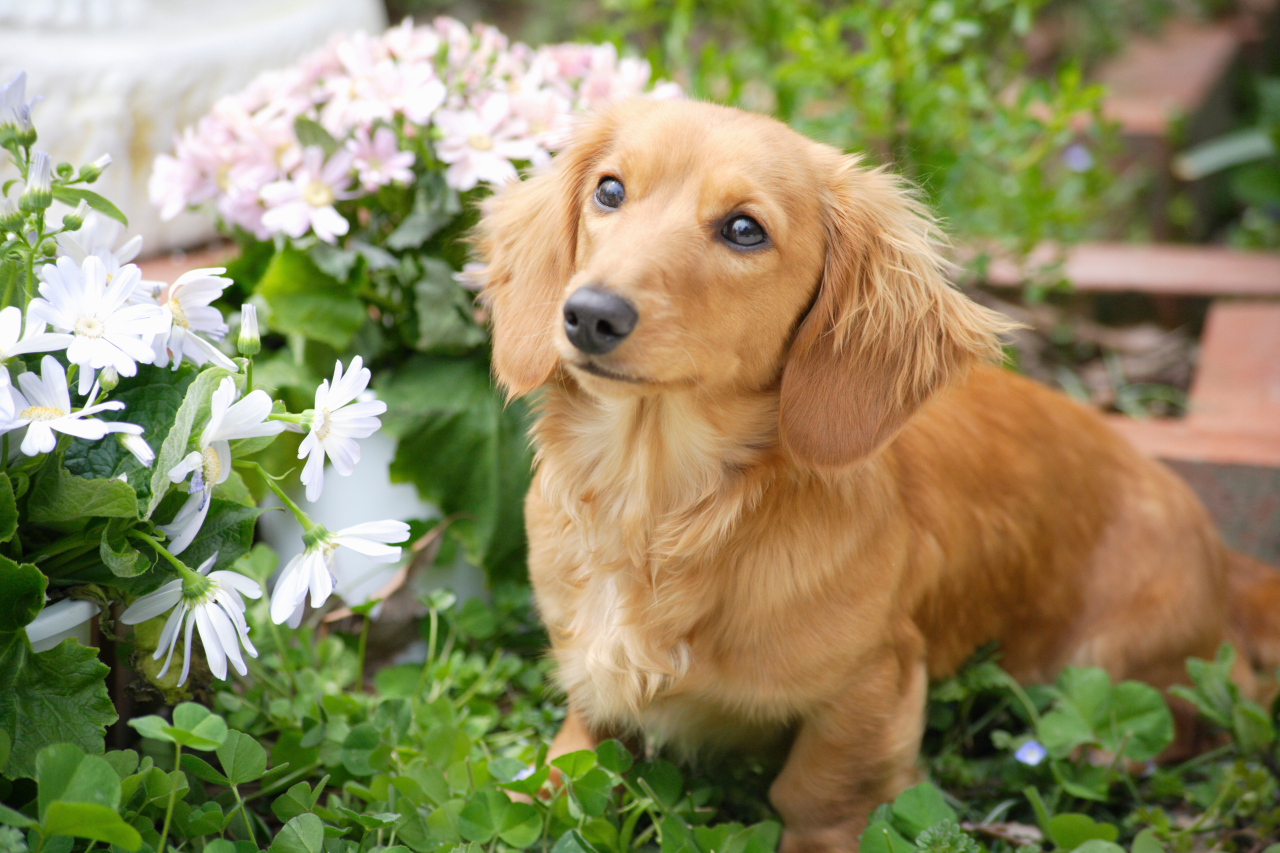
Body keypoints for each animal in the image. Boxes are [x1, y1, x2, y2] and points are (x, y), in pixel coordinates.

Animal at [473, 101, 1280, 850]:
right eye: (609, 190)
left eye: (744, 229)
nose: (588, 315)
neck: (659, 508)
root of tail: (1224, 557)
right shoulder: (588, 678)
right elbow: (563, 764)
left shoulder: (873, 684)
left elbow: (819, 793)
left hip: (1115, 660)